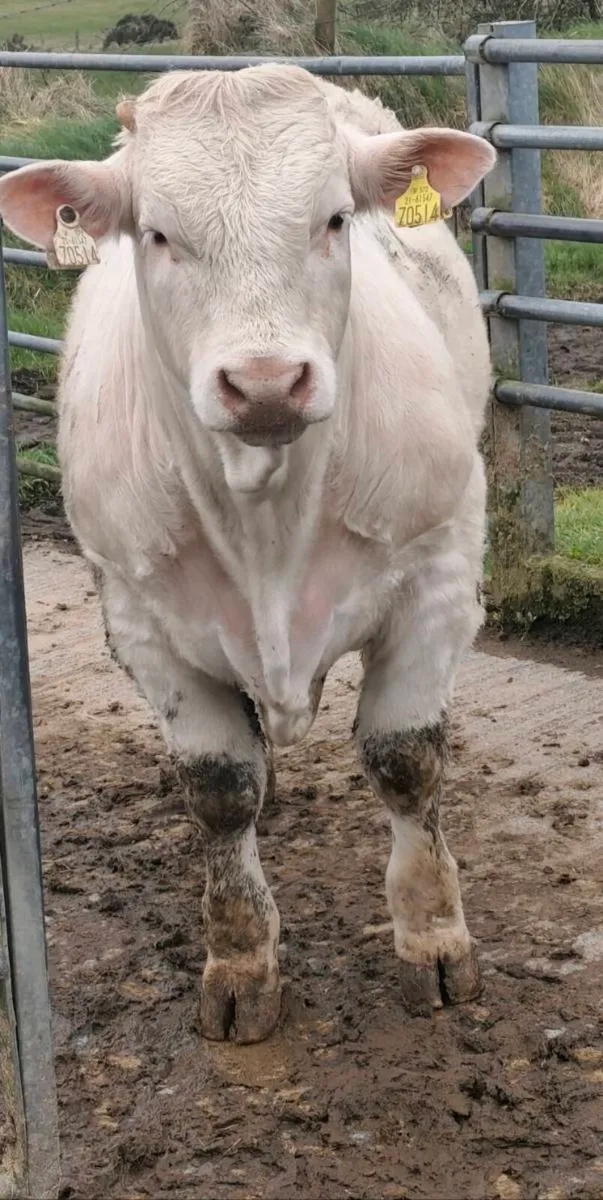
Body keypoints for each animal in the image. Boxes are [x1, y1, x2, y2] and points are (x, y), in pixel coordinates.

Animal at [0, 66, 495, 1044]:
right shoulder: (140, 618)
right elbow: (221, 791)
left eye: (334, 218)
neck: (265, 521)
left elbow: (404, 762)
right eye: (157, 233)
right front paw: (239, 965)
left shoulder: (440, 572)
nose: (266, 383)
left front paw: (433, 941)